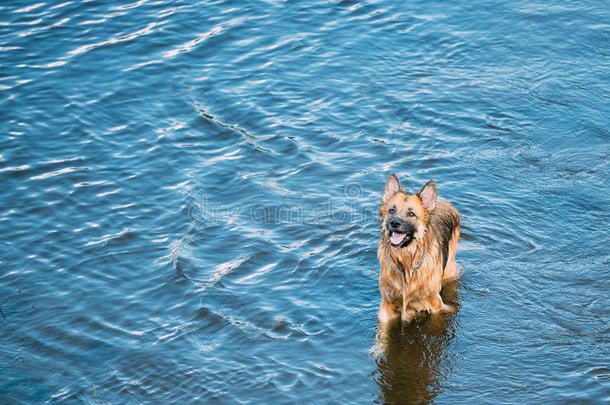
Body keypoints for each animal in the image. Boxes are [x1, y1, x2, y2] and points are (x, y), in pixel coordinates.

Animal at [372, 174, 458, 322]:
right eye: (391, 210)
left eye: (411, 214)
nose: (394, 223)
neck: (406, 264)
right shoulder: (386, 307)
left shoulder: (436, 305)